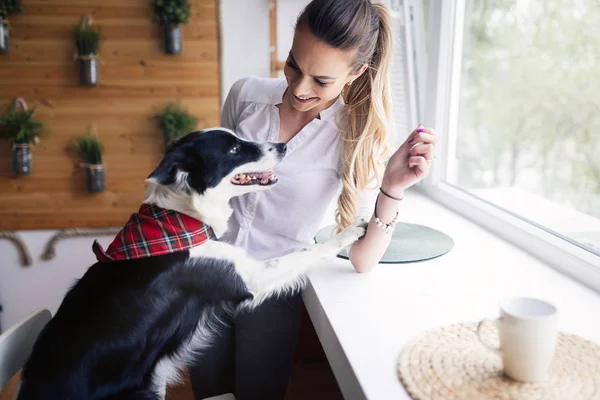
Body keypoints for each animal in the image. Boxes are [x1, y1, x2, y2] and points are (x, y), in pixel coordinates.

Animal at [16, 129, 366, 400]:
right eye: (235, 149)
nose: (282, 146)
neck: (181, 217)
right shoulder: (246, 278)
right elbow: (302, 253)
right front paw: (349, 232)